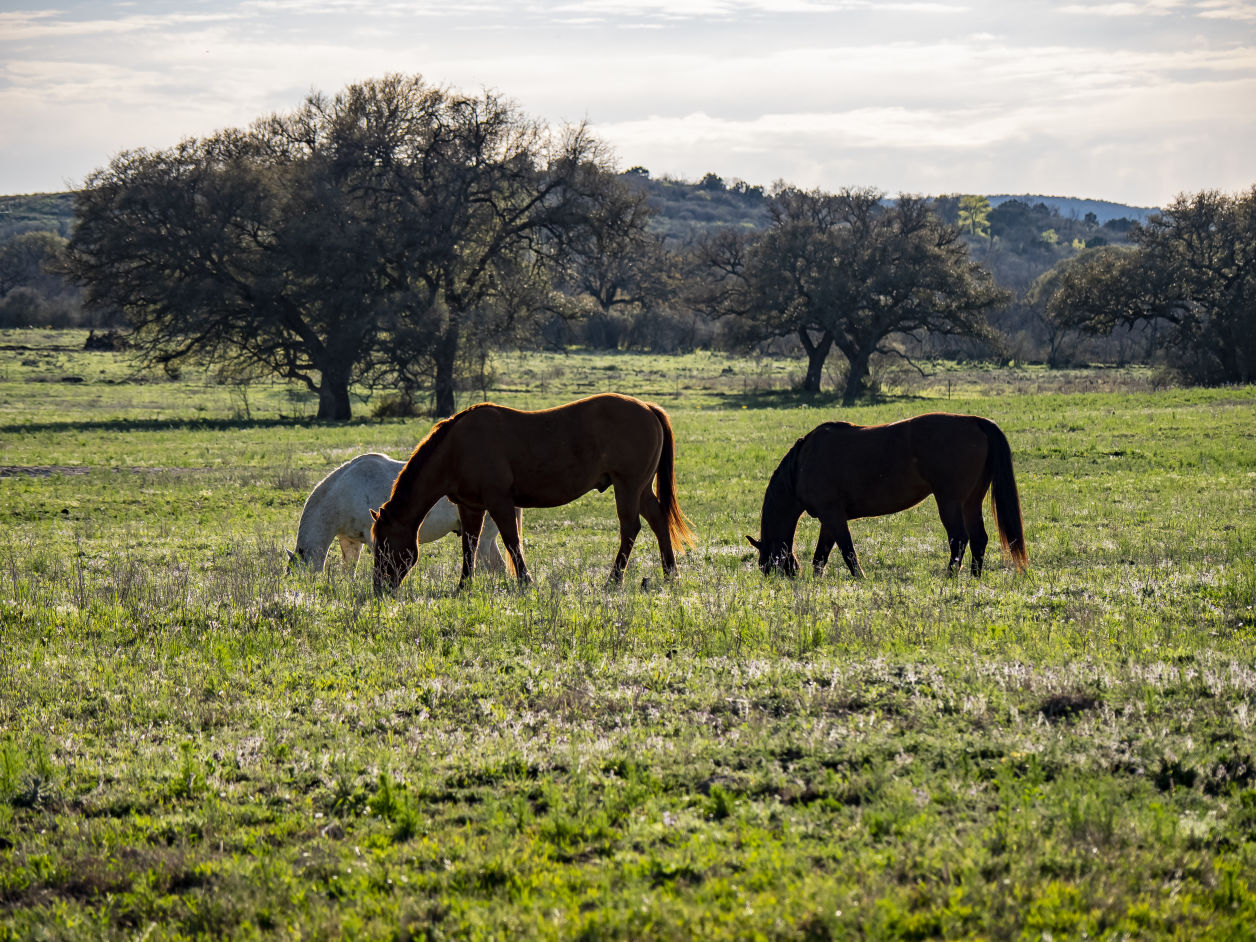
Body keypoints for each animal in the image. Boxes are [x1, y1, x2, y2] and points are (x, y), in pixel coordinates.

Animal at [366, 394, 703, 592]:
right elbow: (469, 546)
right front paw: (463, 586)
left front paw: (525, 581)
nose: (380, 588)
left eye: (383, 546)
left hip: (628, 487)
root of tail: (648, 408)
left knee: (630, 528)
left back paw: (614, 579)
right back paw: (669, 574)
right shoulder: (470, 507)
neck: (457, 448)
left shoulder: (499, 501)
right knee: (659, 521)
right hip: (640, 488)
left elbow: (512, 541)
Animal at [743, 414, 1029, 580]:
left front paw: (860, 579)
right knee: (979, 538)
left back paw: (949, 576)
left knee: (959, 539)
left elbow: (847, 551)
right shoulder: (829, 519)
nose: (781, 580)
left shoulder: (832, 515)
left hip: (949, 501)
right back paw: (974, 578)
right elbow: (820, 557)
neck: (802, 464)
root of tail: (975, 421)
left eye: (766, 566)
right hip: (971, 501)